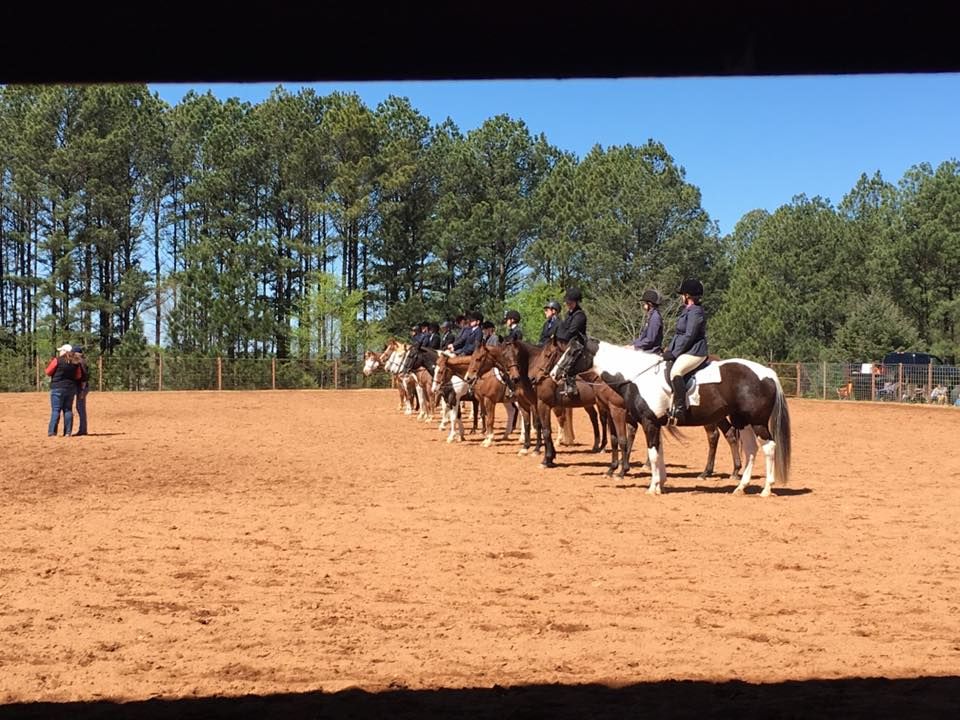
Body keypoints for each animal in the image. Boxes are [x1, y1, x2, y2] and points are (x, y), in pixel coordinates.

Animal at [568, 342, 788, 496]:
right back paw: (740, 486)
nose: (559, 373)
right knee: (750, 449)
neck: (638, 377)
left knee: (768, 447)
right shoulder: (654, 423)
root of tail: (768, 372)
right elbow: (658, 453)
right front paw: (660, 483)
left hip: (757, 422)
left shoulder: (647, 421)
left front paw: (652, 487)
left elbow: (652, 453)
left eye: (573, 352)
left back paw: (766, 489)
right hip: (742, 421)